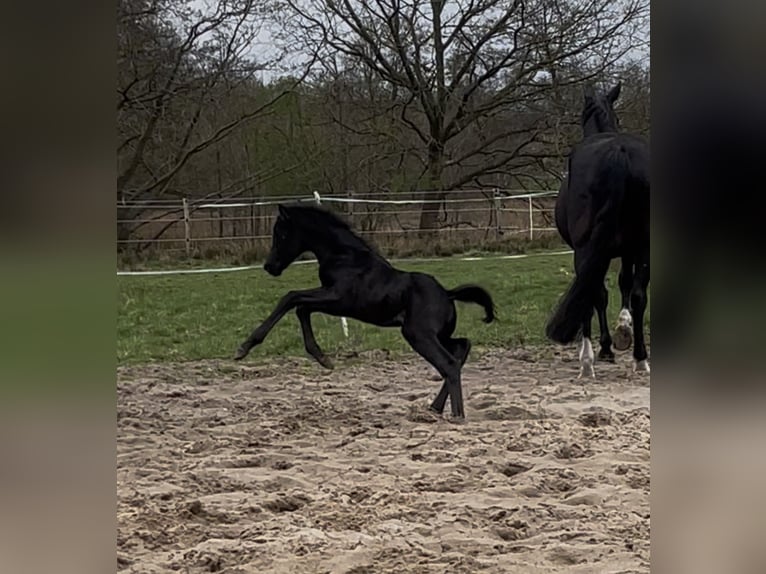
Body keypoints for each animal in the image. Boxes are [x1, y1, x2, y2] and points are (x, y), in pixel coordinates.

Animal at [233, 203, 496, 420]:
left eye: (281, 233)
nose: (270, 266)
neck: (345, 256)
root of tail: (448, 294)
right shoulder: (330, 300)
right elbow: (301, 308)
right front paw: (322, 358)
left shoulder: (337, 298)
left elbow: (291, 298)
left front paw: (244, 348)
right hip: (437, 335)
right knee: (461, 347)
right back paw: (434, 408)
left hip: (418, 335)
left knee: (449, 363)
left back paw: (457, 415)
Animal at [546, 82, 650, 377]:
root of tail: (619, 153)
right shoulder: (628, 250)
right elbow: (625, 285)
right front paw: (623, 330)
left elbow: (598, 296)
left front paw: (603, 347)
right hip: (643, 245)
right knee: (639, 295)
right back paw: (640, 359)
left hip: (586, 249)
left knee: (591, 293)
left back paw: (587, 361)